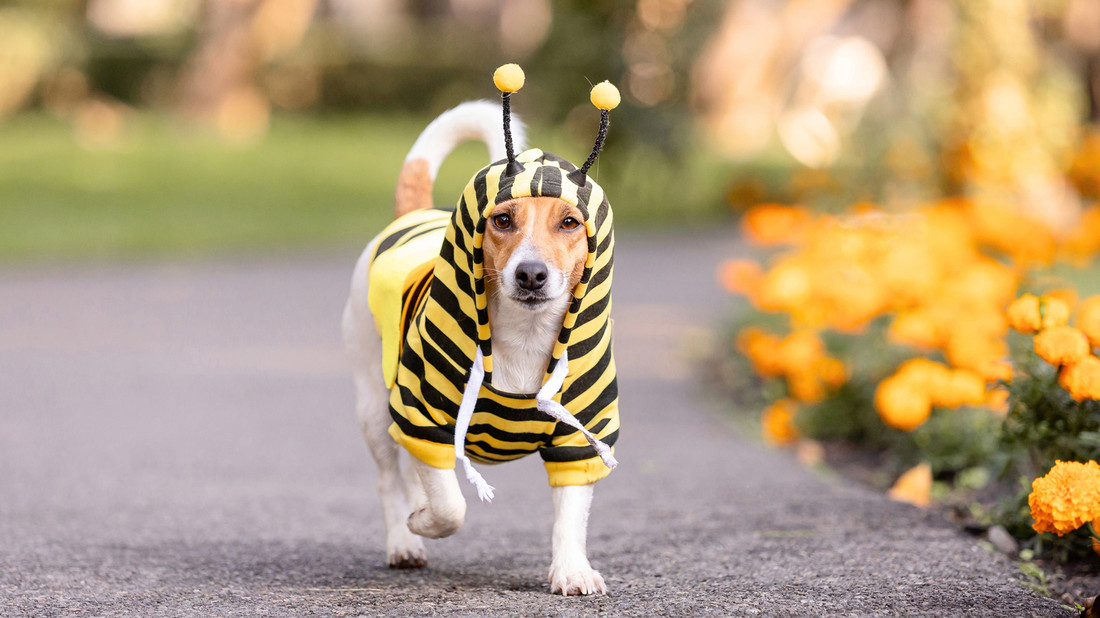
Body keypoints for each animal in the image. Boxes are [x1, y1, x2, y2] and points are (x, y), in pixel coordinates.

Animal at [343, 74, 620, 593]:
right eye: (502, 219)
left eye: (569, 222)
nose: (531, 274)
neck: (524, 340)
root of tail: (414, 214)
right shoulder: (425, 417)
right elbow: (450, 506)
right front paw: (422, 521)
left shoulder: (578, 437)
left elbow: (570, 515)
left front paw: (572, 570)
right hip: (374, 404)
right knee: (391, 478)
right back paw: (403, 541)